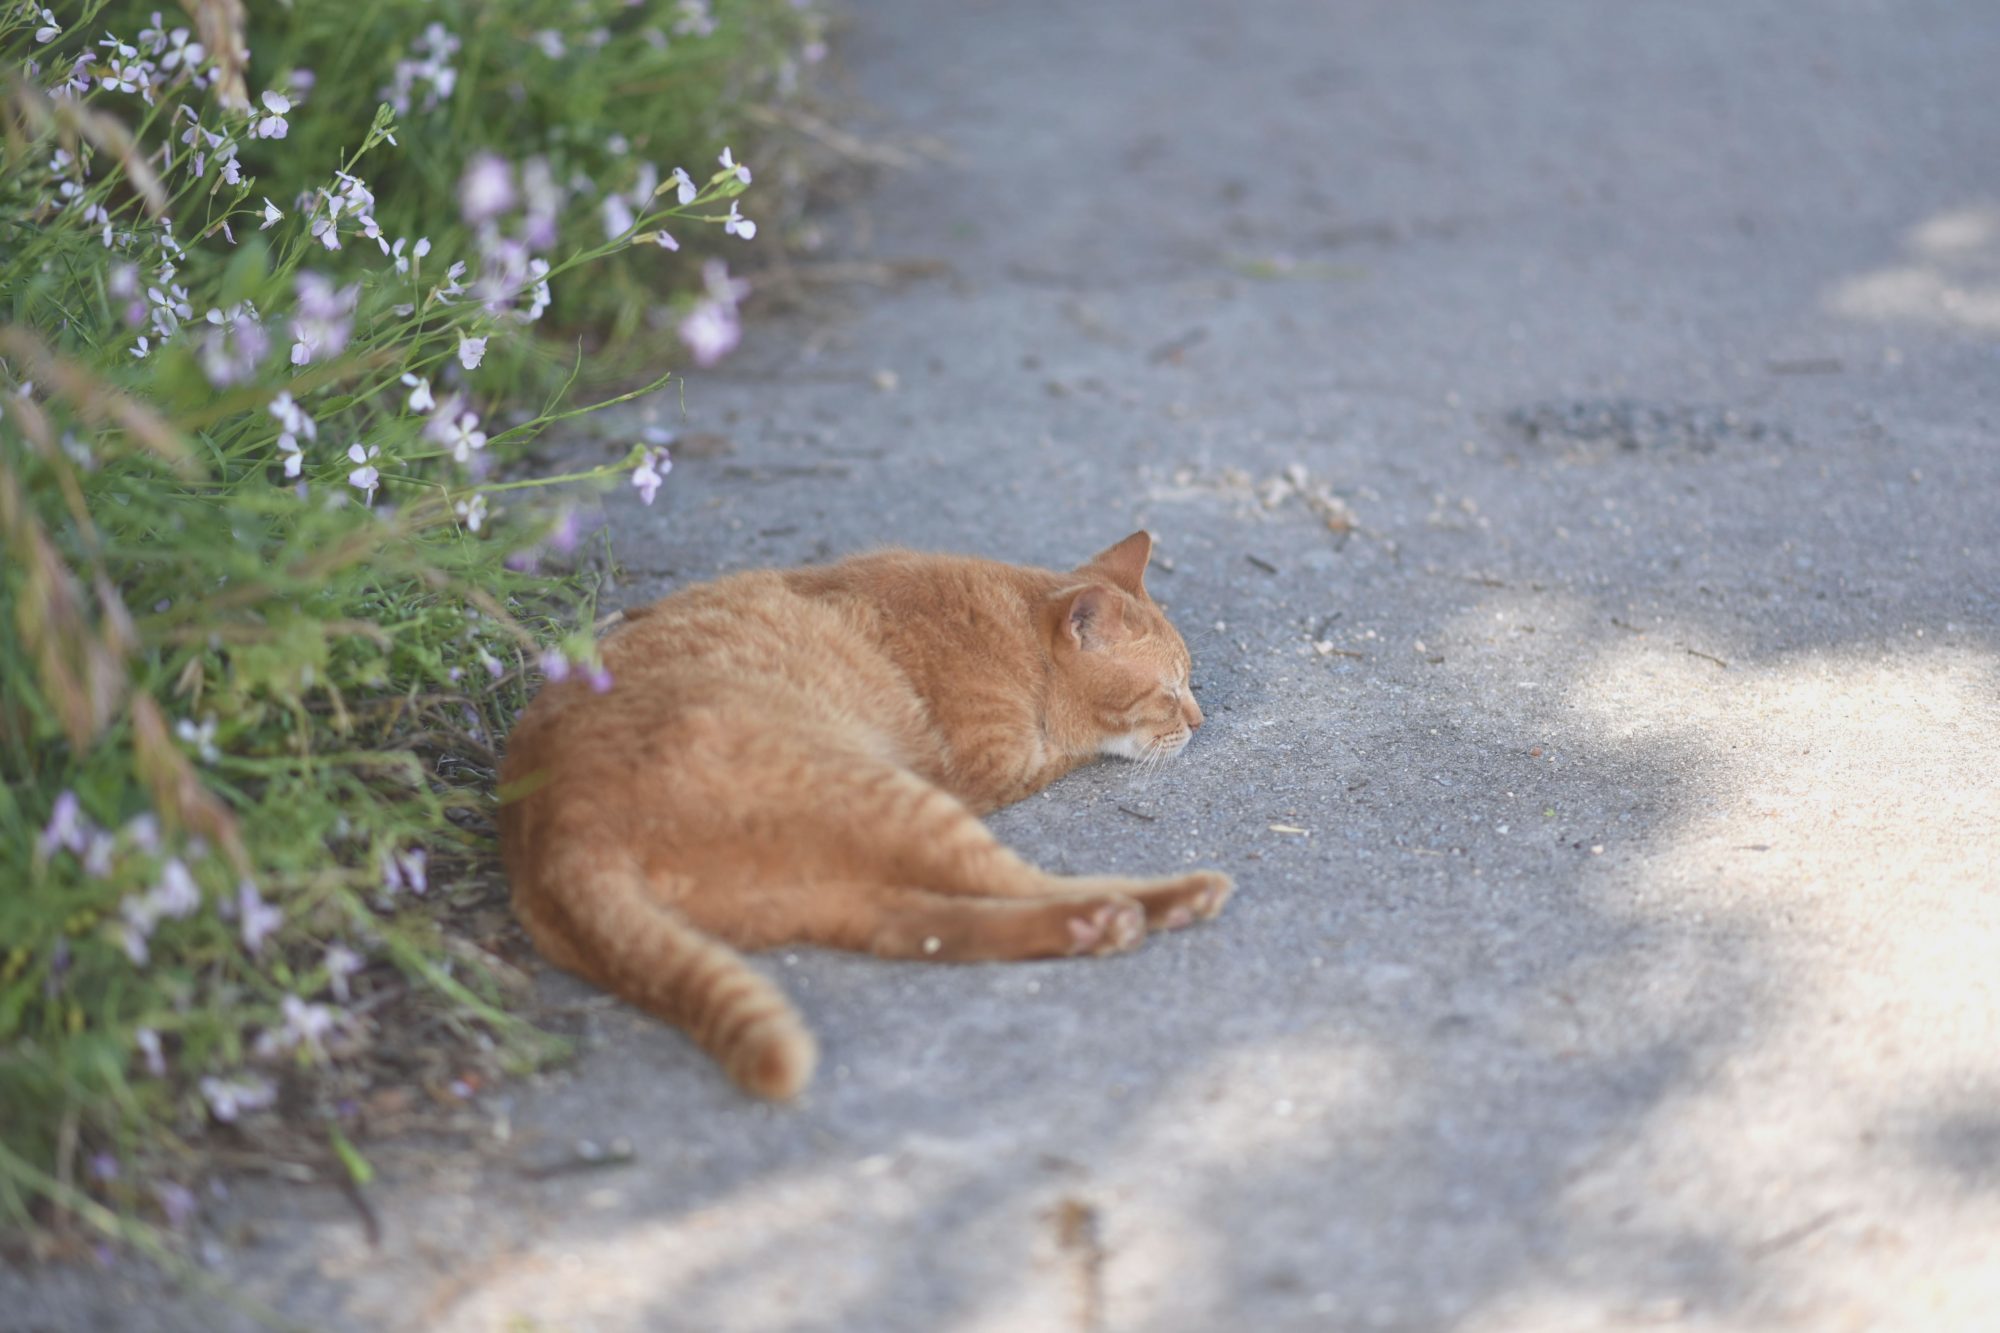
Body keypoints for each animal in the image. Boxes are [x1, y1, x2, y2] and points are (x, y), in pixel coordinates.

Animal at [492, 524, 1224, 1096]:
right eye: (1169, 692)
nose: (1199, 720)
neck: (1011, 628)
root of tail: (553, 831)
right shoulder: (992, 766)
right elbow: (1069, 751)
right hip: (892, 796)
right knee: (1014, 883)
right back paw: (1163, 900)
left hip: (828, 886)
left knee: (924, 927)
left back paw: (1096, 926)